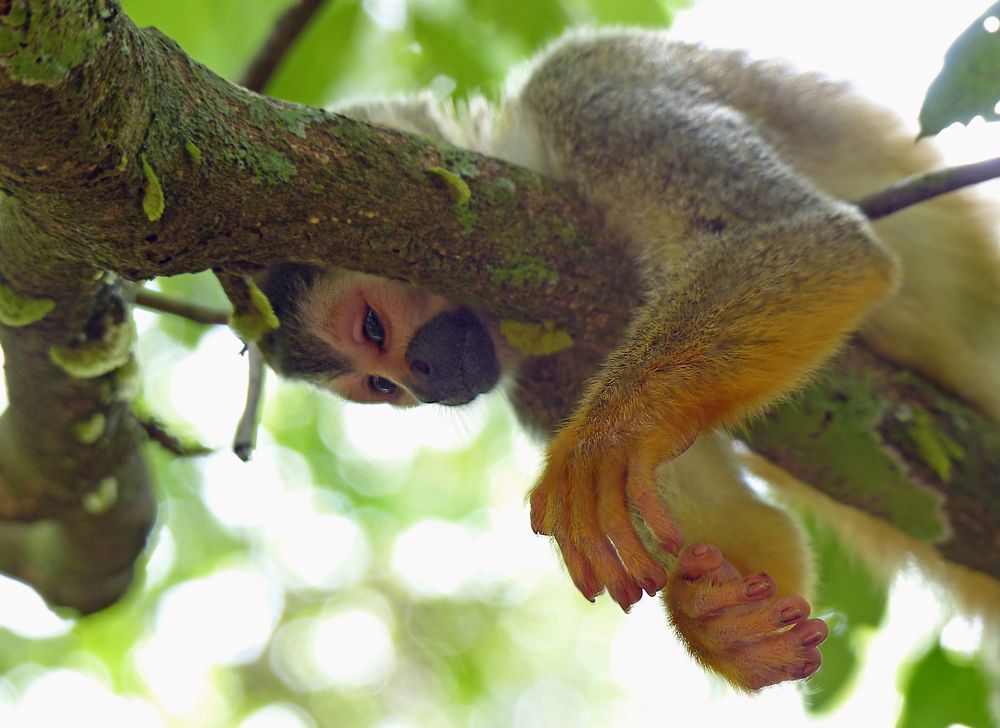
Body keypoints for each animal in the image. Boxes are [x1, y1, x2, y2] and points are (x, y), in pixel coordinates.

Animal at [256, 27, 1000, 688]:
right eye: (379, 387)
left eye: (373, 328)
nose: (430, 382)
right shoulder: (547, 373)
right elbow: (744, 530)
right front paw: (721, 621)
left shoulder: (584, 91)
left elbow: (810, 238)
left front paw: (605, 440)